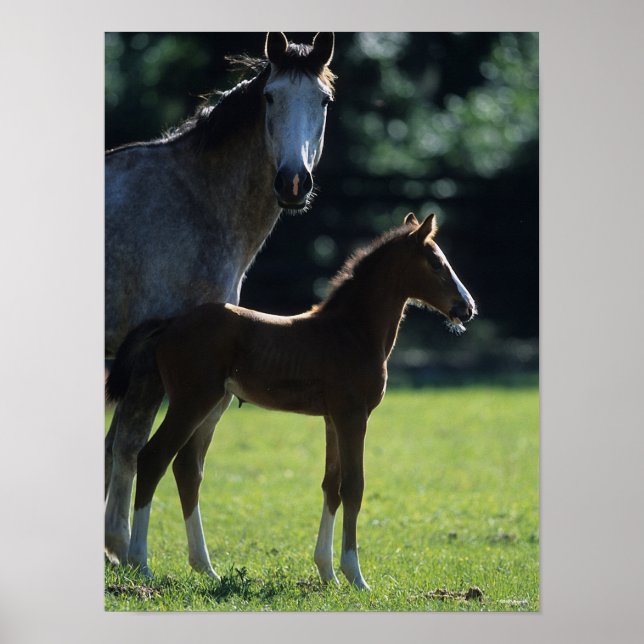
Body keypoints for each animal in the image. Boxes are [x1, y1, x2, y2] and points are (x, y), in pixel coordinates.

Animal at [105, 32, 336, 574]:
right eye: (270, 97)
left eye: (323, 101)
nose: (293, 182)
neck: (194, 202)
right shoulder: (148, 363)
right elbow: (130, 446)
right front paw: (124, 550)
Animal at [106, 213, 477, 589]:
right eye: (436, 263)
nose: (468, 308)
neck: (352, 332)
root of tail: (169, 324)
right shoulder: (354, 415)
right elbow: (353, 486)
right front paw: (355, 575)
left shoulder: (332, 418)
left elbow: (331, 486)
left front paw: (328, 573)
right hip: (191, 401)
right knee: (152, 459)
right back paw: (140, 562)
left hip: (211, 404)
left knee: (186, 468)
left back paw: (205, 566)